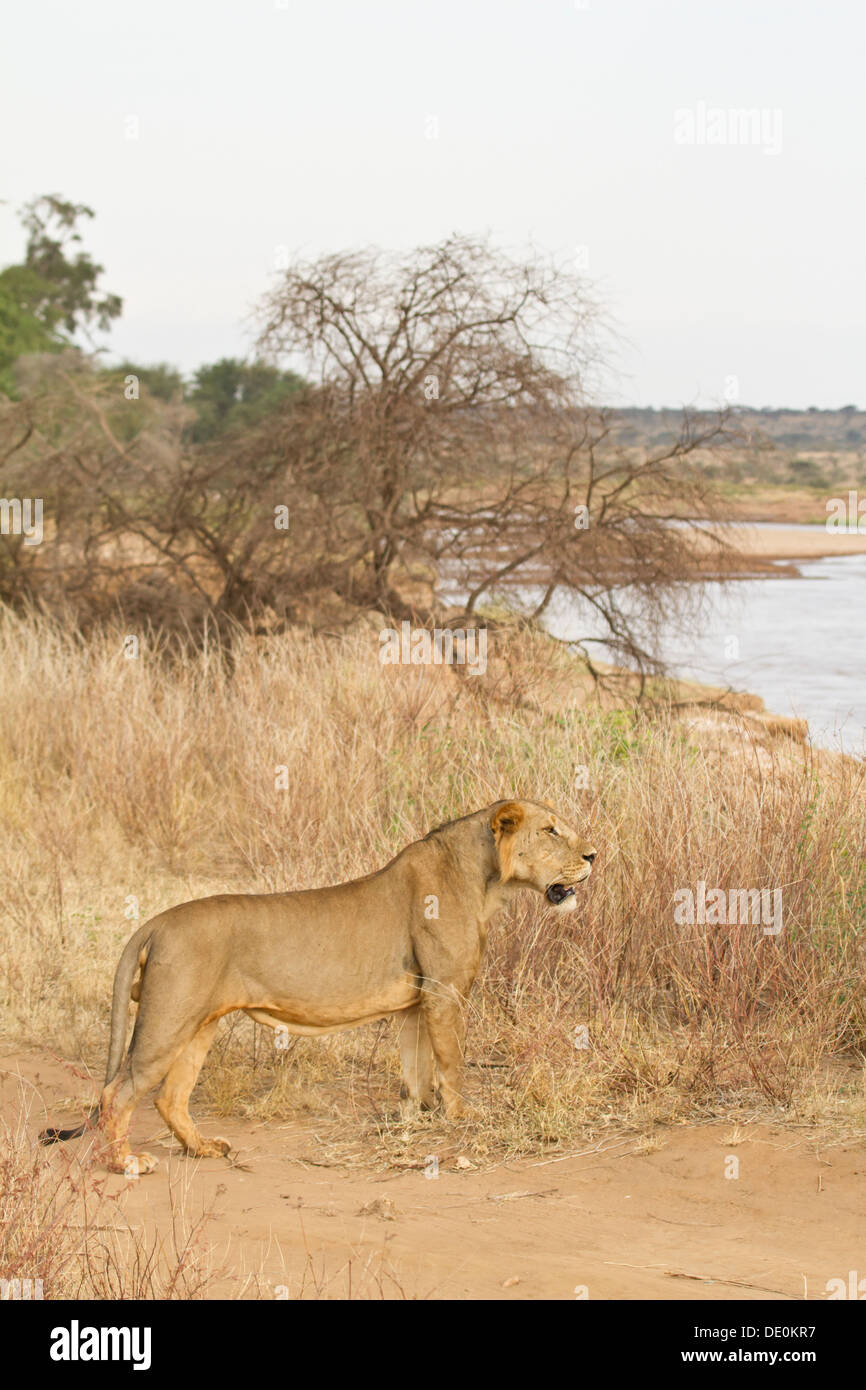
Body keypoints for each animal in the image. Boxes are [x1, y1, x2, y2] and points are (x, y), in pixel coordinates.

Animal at [40, 799, 596, 1174]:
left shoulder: (416, 1006)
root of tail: (155, 921)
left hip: (199, 1026)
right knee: (117, 1093)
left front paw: (413, 1121)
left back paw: (203, 1149)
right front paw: (463, 1118)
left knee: (169, 1097)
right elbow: (452, 1066)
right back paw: (126, 1164)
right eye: (551, 830)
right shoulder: (444, 994)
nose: (594, 855)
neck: (485, 882)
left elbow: (415, 1073)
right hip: (167, 1021)